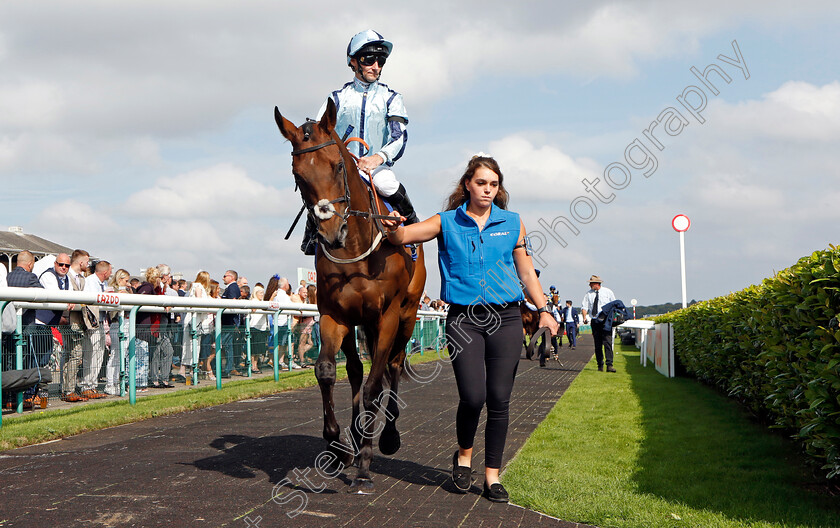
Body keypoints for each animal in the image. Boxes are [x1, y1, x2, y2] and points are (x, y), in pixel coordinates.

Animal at [274, 101, 424, 492]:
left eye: (338, 165)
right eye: (298, 175)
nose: (329, 232)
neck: (356, 250)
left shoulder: (387, 318)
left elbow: (374, 386)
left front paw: (367, 461)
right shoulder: (333, 314)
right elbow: (327, 371)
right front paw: (338, 445)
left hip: (407, 317)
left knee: (392, 367)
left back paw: (386, 436)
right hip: (358, 323)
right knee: (356, 370)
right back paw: (356, 439)